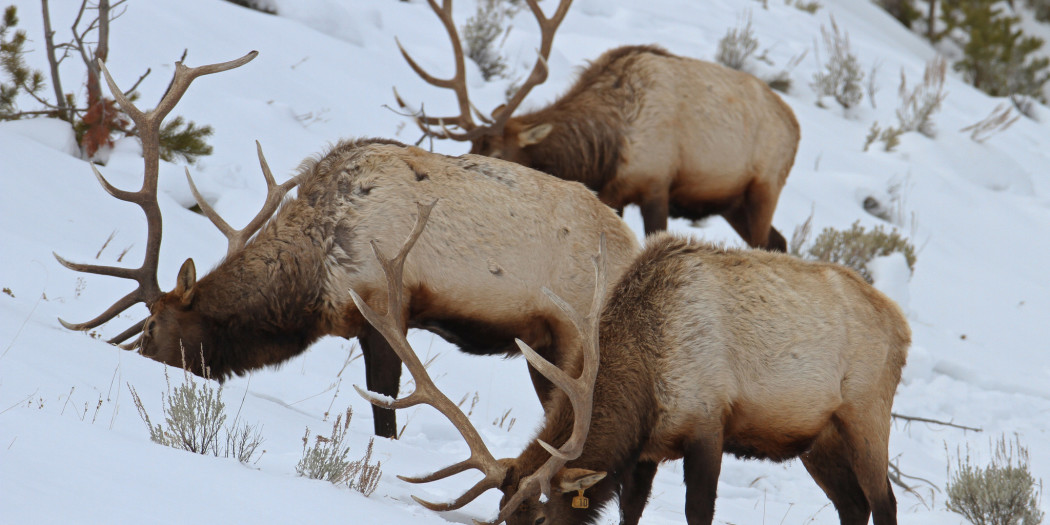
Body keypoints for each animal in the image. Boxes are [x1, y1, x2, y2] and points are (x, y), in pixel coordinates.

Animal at [53, 52, 641, 440]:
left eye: (153, 327)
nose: (132, 361)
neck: (313, 275)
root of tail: (634, 247)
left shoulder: (386, 307)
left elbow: (385, 412)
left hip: (573, 340)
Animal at [355, 207, 910, 525]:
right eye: (505, 516)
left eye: (539, 518)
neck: (647, 377)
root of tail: (901, 324)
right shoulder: (647, 450)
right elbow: (630, 512)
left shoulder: (708, 423)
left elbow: (697, 511)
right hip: (817, 441)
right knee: (854, 505)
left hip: (866, 413)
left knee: (884, 502)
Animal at [395, 0, 800, 251]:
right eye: (470, 149)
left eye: (498, 153)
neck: (607, 152)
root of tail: (795, 124)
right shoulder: (612, 195)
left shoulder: (657, 185)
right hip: (732, 204)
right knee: (779, 241)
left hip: (766, 187)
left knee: (766, 242)